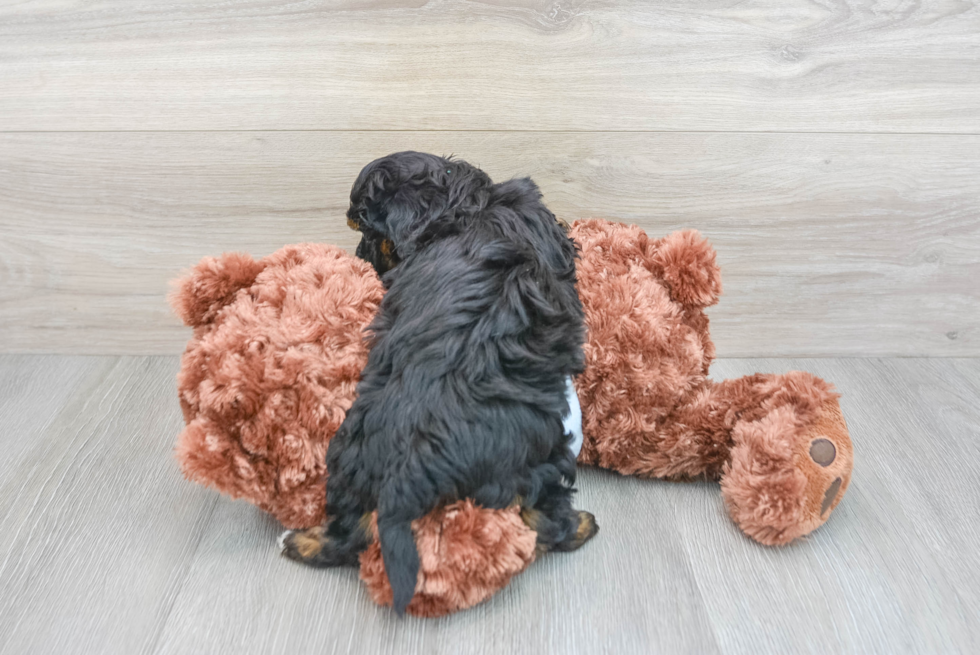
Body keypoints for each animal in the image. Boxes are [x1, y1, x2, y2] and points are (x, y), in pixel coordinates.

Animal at [280, 154, 592, 616]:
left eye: (368, 231)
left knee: (351, 532)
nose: (359, 255)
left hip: (349, 456)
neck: (467, 208)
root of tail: (412, 467)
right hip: (542, 456)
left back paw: (298, 542)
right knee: (548, 522)